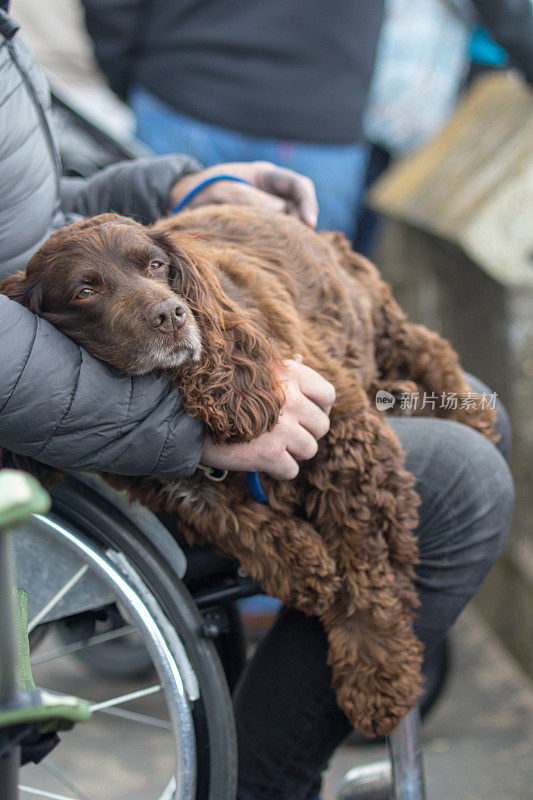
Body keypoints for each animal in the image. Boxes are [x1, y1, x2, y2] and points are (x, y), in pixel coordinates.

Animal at [1, 206, 498, 736]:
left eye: (156, 266)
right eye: (84, 291)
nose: (171, 315)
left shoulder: (349, 447)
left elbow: (369, 572)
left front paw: (376, 677)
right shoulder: (177, 491)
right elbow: (238, 522)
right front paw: (304, 570)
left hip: (372, 317)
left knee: (429, 347)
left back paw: (466, 413)